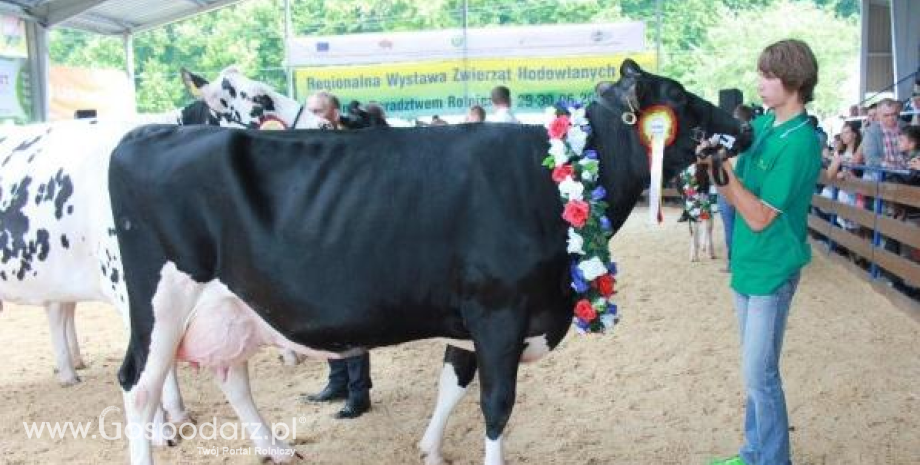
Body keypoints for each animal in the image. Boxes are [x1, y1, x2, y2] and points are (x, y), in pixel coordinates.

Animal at [104, 59, 748, 462]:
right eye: (680, 99)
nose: (742, 126)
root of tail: (143, 135)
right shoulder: (500, 312)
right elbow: (495, 405)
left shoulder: (471, 319)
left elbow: (452, 381)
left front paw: (431, 449)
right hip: (161, 307)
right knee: (137, 388)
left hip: (227, 309)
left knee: (229, 374)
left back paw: (275, 447)